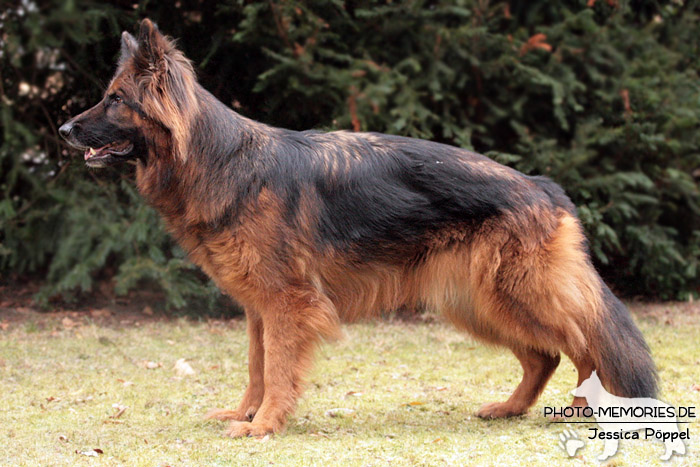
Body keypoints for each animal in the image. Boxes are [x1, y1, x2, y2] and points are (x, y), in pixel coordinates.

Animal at [58, 19, 656, 438]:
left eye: (115, 100)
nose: (63, 128)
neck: (221, 159)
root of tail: (542, 185)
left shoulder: (288, 304)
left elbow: (278, 370)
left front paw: (265, 425)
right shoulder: (259, 308)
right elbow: (257, 367)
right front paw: (247, 414)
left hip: (512, 294)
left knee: (583, 346)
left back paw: (578, 411)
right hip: (474, 302)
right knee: (544, 354)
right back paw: (509, 409)